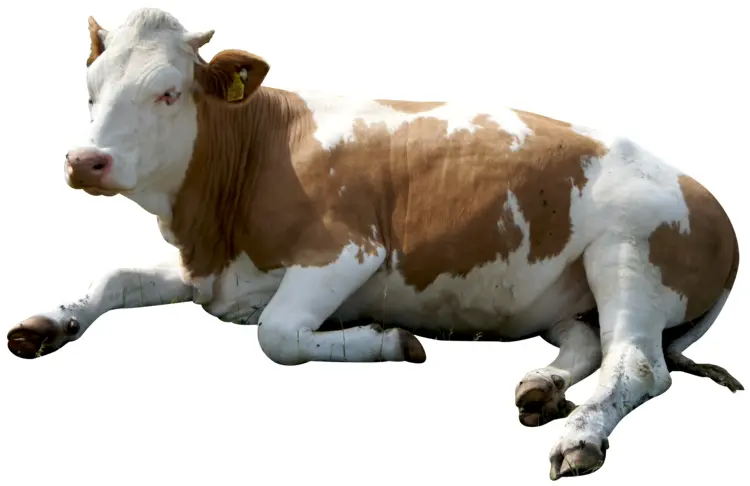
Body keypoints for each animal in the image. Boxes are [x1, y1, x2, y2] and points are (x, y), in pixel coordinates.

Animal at [7, 7, 743, 481]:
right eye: (90, 90)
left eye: (167, 93)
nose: (84, 161)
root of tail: (710, 202)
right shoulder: (214, 270)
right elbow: (113, 277)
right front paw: (45, 323)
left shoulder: (348, 251)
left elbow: (276, 335)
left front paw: (390, 340)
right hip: (567, 290)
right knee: (588, 343)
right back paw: (541, 387)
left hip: (629, 252)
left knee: (639, 365)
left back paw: (582, 434)